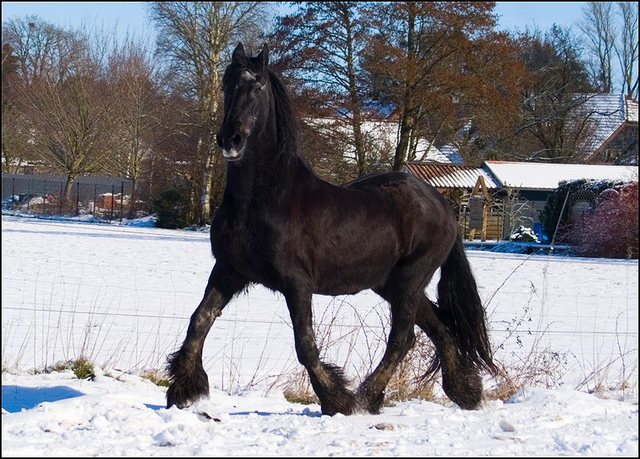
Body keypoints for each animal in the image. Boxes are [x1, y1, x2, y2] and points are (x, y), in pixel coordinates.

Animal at [168, 44, 498, 416]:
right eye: (226, 84)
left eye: (258, 87)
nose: (230, 139)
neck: (263, 200)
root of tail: (442, 205)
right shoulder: (229, 271)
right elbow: (199, 321)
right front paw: (183, 391)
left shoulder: (297, 283)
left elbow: (305, 344)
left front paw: (335, 399)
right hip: (393, 284)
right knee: (438, 330)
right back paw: (464, 391)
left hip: (409, 280)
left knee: (403, 338)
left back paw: (368, 397)